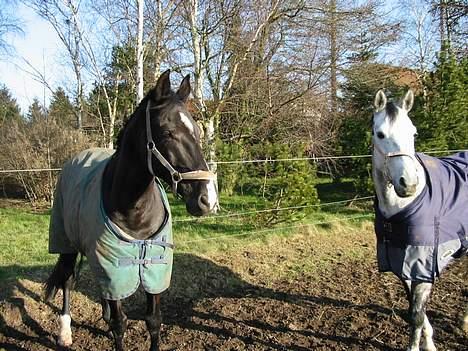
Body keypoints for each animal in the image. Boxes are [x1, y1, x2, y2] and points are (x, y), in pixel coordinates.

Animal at [44, 71, 218, 351]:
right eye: (168, 132)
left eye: (198, 132)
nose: (208, 200)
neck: (135, 212)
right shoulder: (113, 264)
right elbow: (120, 324)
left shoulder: (152, 268)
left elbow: (153, 320)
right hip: (67, 242)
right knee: (68, 280)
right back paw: (65, 333)